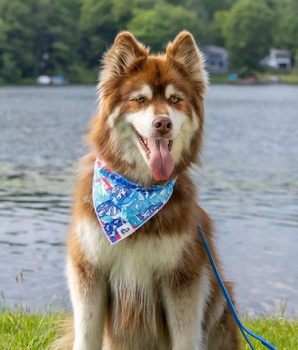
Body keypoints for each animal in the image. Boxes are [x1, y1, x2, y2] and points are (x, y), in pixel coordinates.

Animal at [54, 31, 242, 348]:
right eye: (139, 99)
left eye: (175, 99)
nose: (162, 123)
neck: (138, 193)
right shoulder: (89, 270)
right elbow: (86, 335)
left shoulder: (183, 276)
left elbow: (185, 337)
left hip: (221, 300)